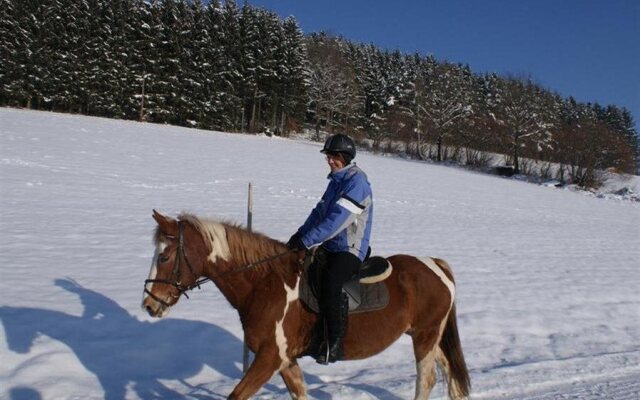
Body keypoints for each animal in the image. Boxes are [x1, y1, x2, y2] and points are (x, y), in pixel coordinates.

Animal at [142, 211, 468, 398]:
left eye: (165, 256)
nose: (149, 304)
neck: (264, 284)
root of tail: (435, 264)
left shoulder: (270, 358)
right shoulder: (286, 360)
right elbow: (300, 393)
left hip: (425, 337)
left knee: (426, 379)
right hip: (431, 337)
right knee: (450, 375)